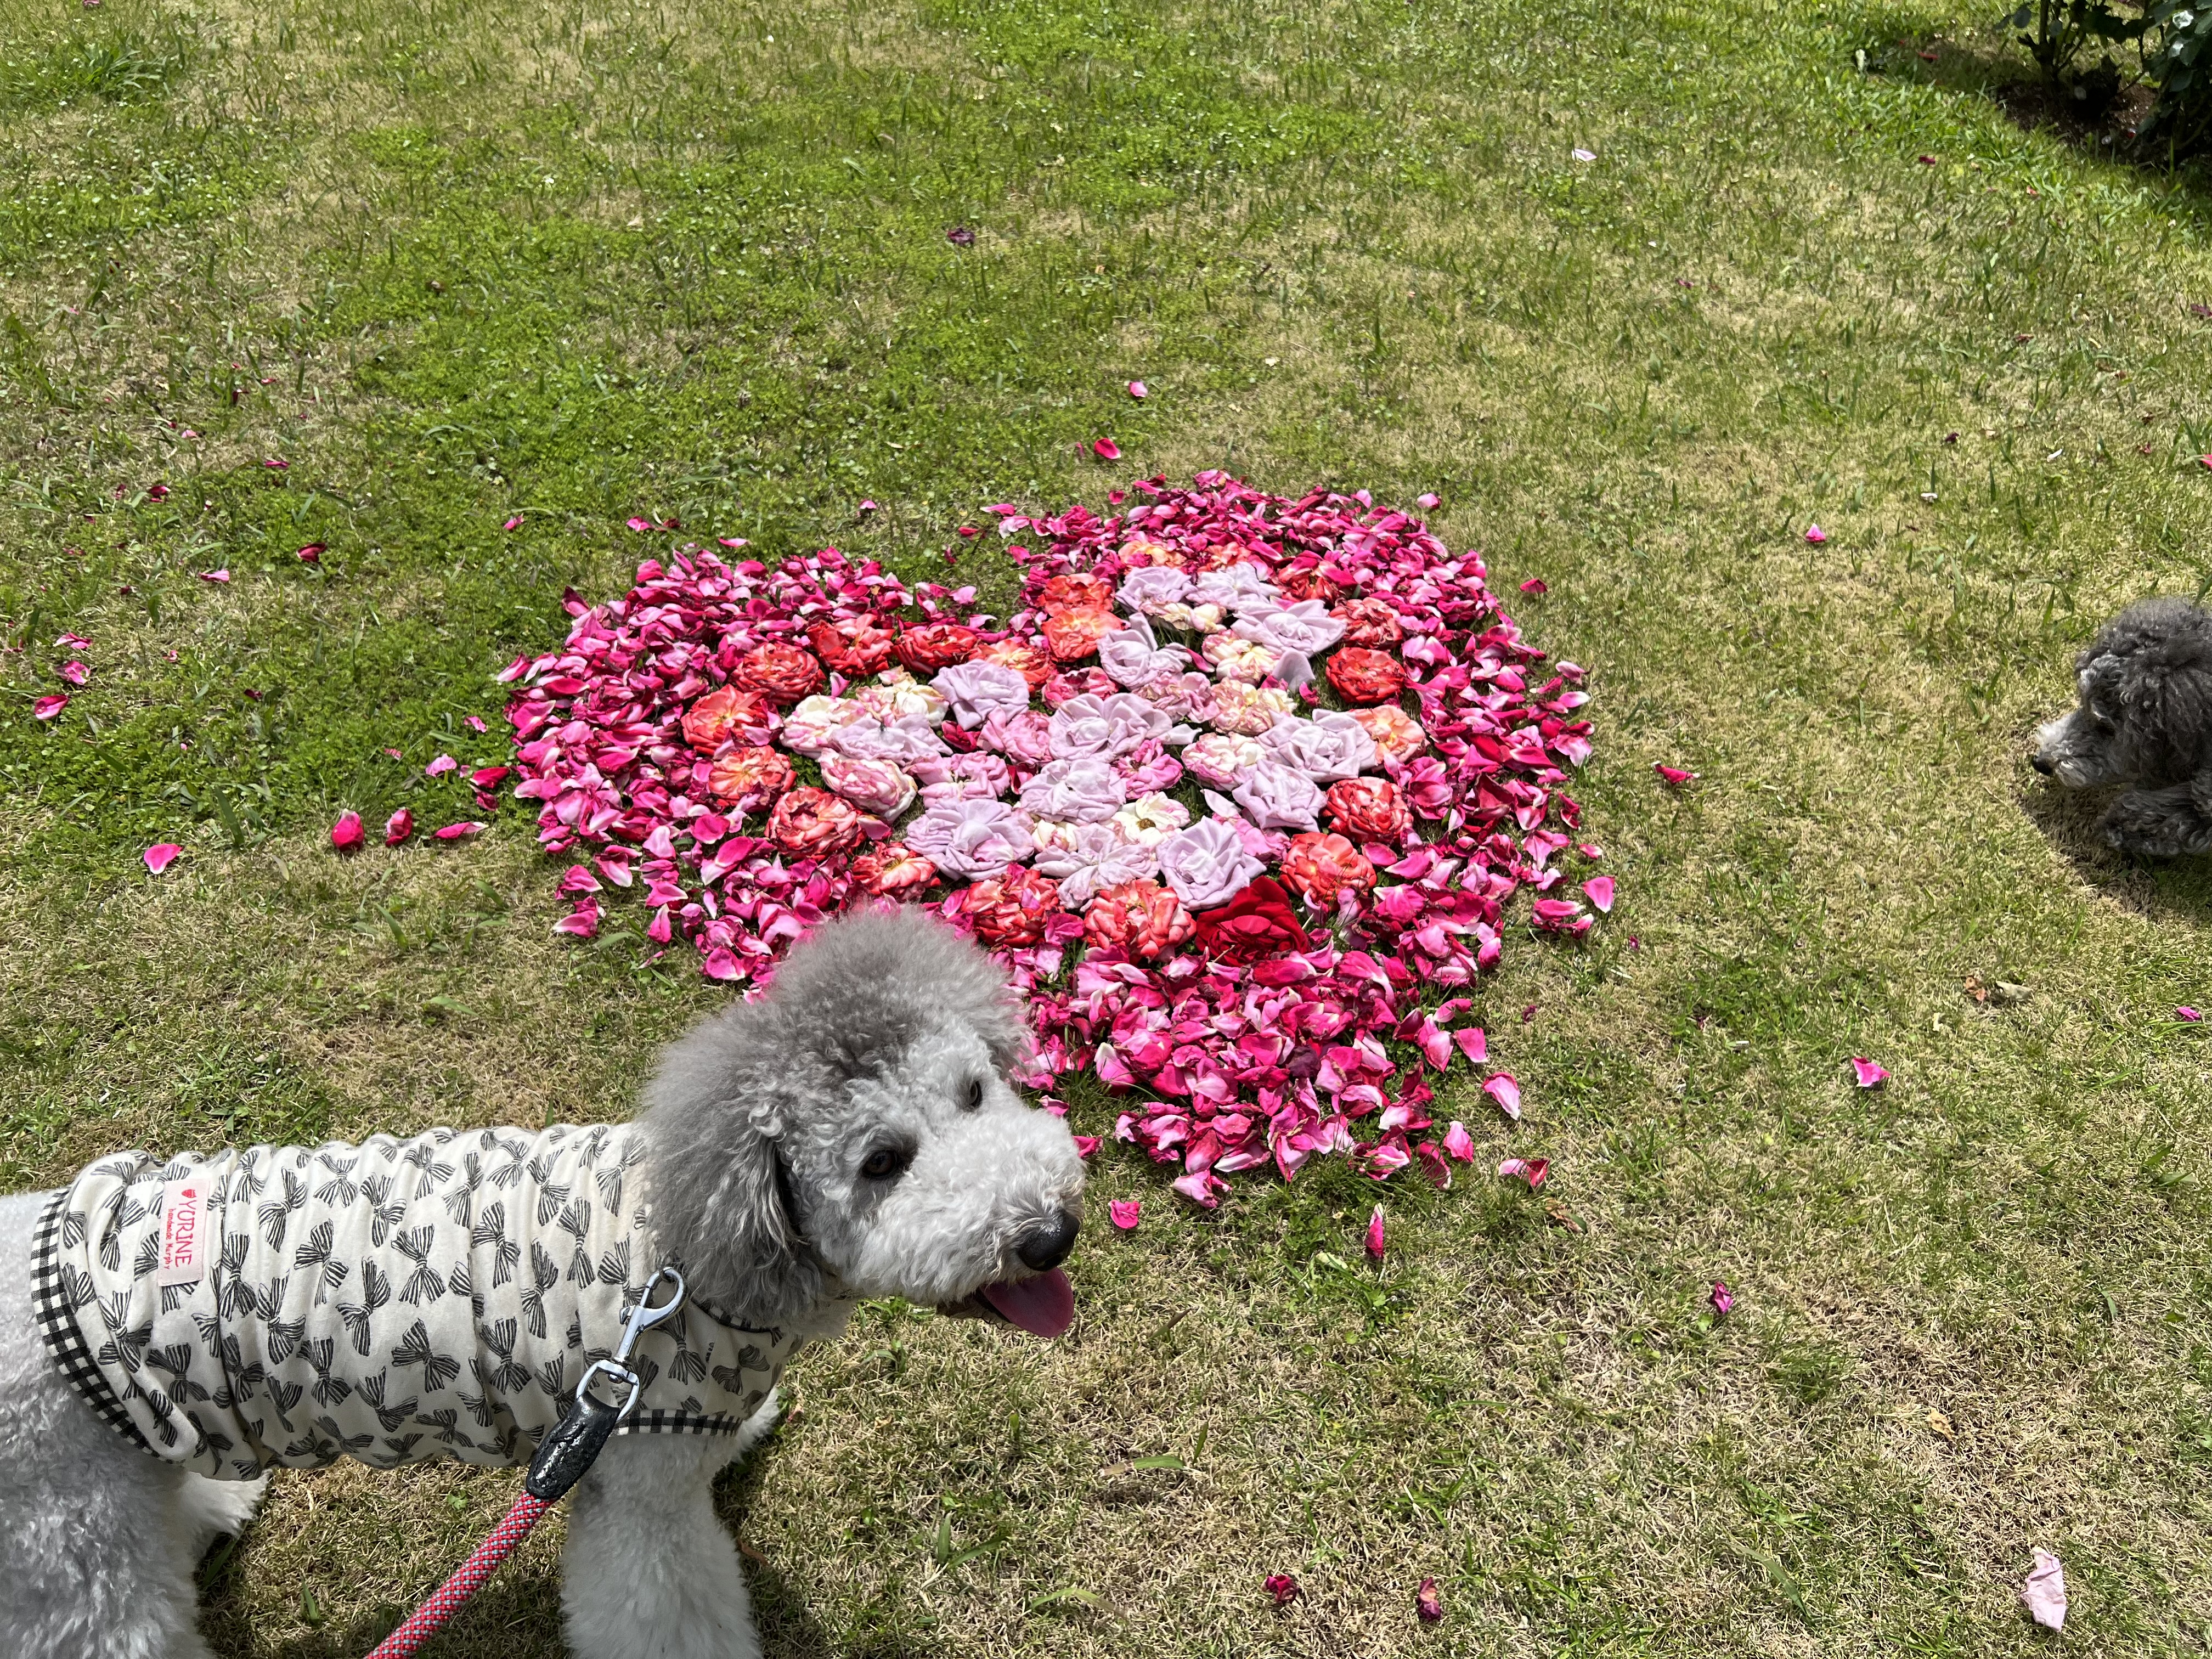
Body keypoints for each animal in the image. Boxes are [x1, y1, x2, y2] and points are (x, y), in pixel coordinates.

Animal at [0, 911, 1079, 1659]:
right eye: (881, 1162)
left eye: (975, 1091)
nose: (1051, 1232)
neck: (696, 1254)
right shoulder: (642, 1500)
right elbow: (667, 1615)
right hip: (71, 1542)